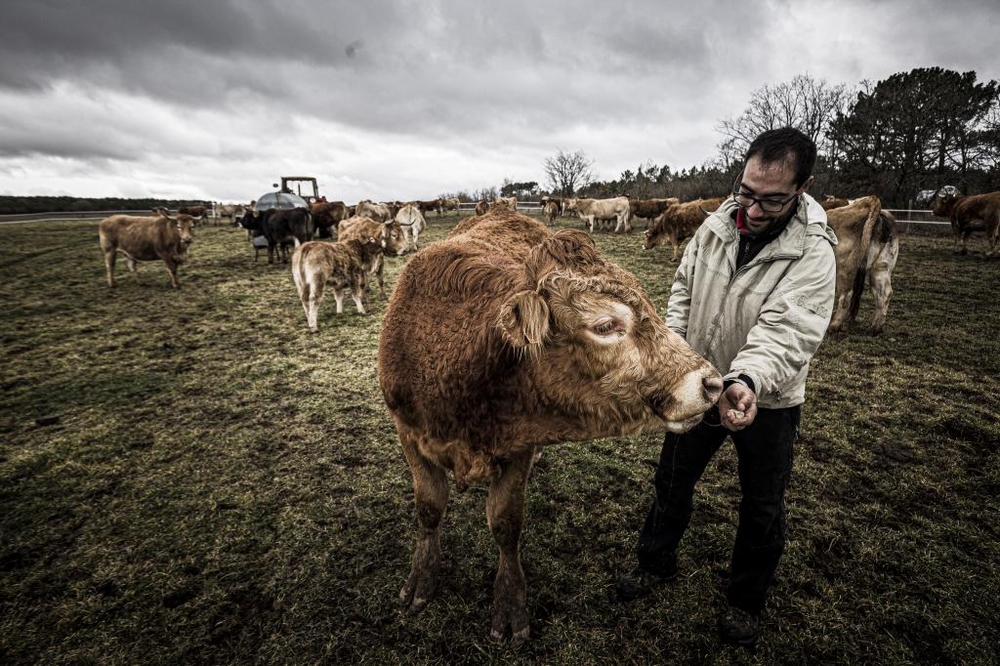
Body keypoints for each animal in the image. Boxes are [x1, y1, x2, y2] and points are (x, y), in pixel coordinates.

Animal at [378, 206, 724, 644]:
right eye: (605, 325)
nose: (711, 383)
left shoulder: (518, 444)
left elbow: (506, 523)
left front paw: (510, 602)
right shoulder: (409, 433)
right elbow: (428, 508)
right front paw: (422, 578)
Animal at [824, 196, 904, 332]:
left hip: (843, 268)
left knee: (846, 296)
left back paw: (834, 325)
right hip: (881, 267)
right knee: (884, 293)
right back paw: (875, 327)